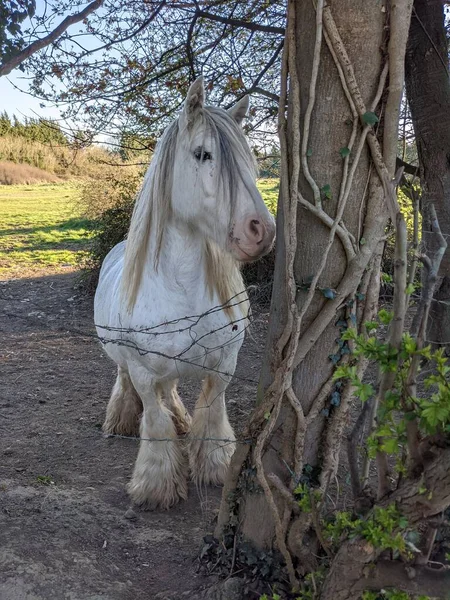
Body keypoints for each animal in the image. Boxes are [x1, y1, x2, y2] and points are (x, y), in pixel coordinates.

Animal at [94, 77, 274, 508]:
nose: (262, 230)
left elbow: (211, 411)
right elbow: (154, 421)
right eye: (203, 153)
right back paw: (121, 419)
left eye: (251, 161)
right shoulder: (144, 370)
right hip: (124, 360)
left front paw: (214, 465)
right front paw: (156, 485)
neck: (182, 287)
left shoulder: (224, 363)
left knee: (171, 391)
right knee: (128, 382)